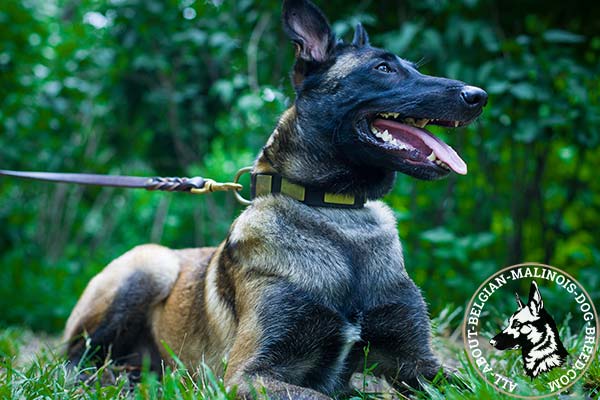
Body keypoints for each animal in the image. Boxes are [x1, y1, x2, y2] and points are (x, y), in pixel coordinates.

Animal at [64, 0, 488, 396]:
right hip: (149, 267)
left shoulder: (417, 364)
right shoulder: (247, 375)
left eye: (411, 67)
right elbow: (317, 397)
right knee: (74, 357)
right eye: (383, 68)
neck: (336, 210)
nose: (479, 96)